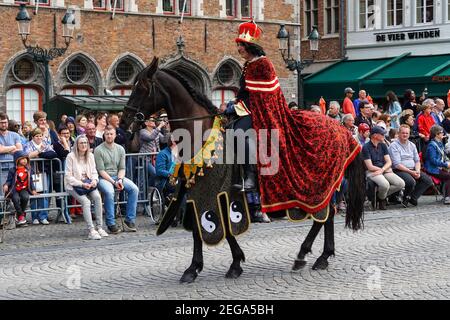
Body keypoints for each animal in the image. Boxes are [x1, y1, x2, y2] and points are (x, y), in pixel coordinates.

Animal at [120, 57, 366, 282]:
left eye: (142, 88)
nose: (124, 123)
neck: (202, 135)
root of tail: (340, 128)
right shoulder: (198, 192)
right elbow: (205, 228)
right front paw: (205, 266)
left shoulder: (215, 192)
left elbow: (217, 228)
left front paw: (215, 266)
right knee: (328, 215)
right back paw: (320, 256)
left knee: (324, 216)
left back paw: (307, 256)